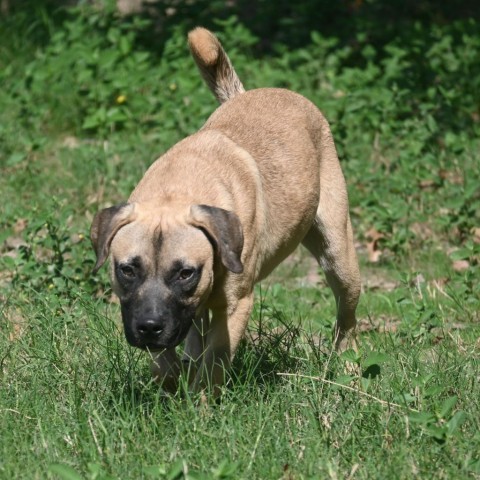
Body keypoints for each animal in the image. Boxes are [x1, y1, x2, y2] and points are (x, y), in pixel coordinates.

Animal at [90, 27, 360, 394]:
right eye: (127, 270)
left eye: (185, 273)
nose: (149, 326)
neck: (178, 191)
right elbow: (165, 361)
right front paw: (172, 380)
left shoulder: (233, 307)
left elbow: (214, 363)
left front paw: (200, 401)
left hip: (340, 258)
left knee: (347, 319)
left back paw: (348, 368)